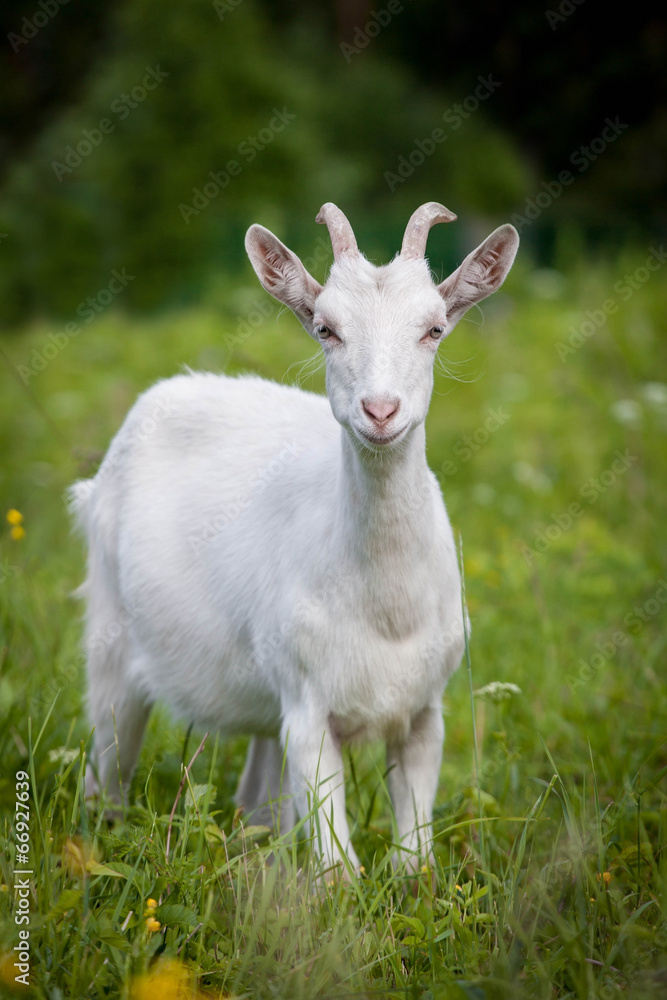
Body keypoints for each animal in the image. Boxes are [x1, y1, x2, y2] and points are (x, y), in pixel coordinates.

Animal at [70, 201, 520, 868]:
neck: (386, 613)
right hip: (111, 643)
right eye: (325, 328)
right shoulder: (309, 707)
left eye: (434, 329)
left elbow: (416, 860)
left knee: (257, 800)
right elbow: (338, 870)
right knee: (107, 771)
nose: (380, 411)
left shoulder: (425, 709)